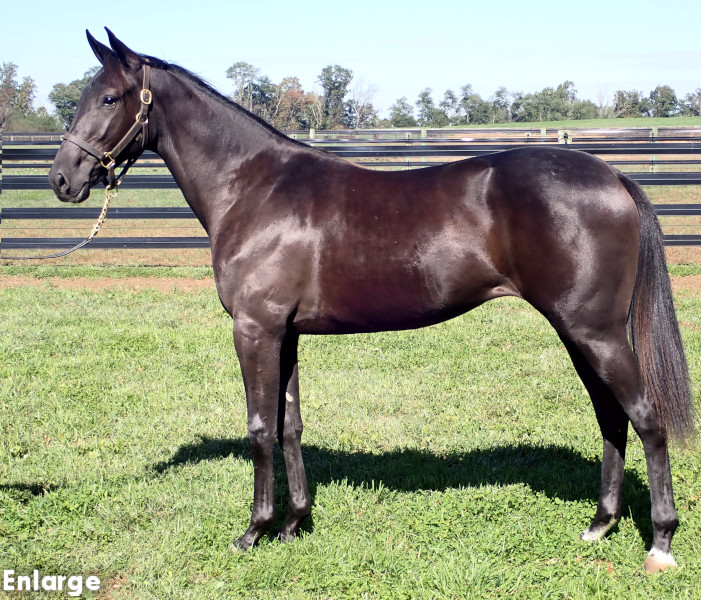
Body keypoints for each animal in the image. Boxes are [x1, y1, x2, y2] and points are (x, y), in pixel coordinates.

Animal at [50, 30, 696, 576]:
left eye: (109, 97)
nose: (62, 179)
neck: (254, 188)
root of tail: (614, 178)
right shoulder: (286, 333)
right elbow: (290, 425)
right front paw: (294, 524)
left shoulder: (255, 330)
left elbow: (259, 427)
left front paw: (254, 532)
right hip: (577, 331)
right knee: (611, 416)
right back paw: (600, 525)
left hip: (597, 332)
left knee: (645, 417)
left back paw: (660, 542)